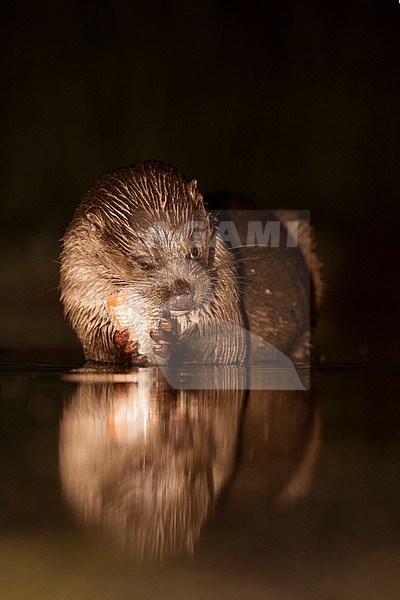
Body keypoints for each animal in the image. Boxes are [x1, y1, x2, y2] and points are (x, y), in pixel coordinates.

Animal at [60, 159, 322, 364]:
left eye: (194, 250)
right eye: (144, 265)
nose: (182, 295)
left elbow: (227, 345)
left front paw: (173, 344)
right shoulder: (81, 292)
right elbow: (97, 350)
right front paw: (124, 347)